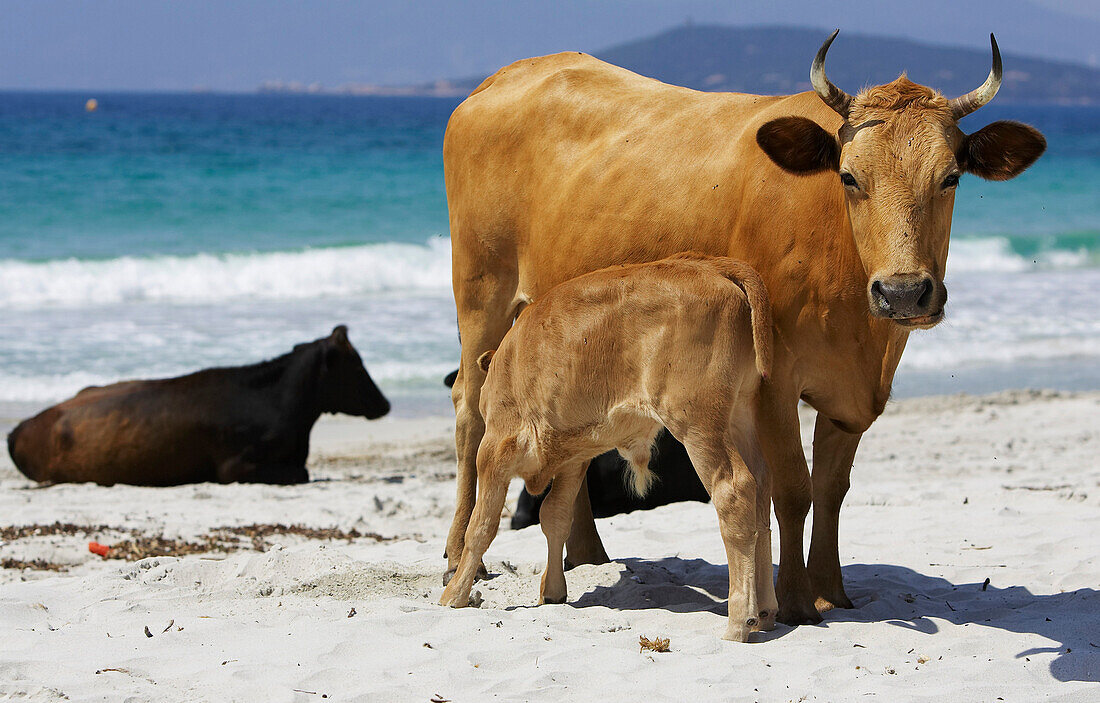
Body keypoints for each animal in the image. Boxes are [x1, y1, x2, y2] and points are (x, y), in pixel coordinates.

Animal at [437, 254, 774, 642]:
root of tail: (711, 267)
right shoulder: (574, 457)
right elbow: (554, 517)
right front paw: (553, 591)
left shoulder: (494, 448)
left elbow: (482, 525)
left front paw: (454, 594)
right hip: (740, 414)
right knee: (762, 491)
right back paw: (766, 612)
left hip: (699, 424)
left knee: (734, 491)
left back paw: (739, 620)